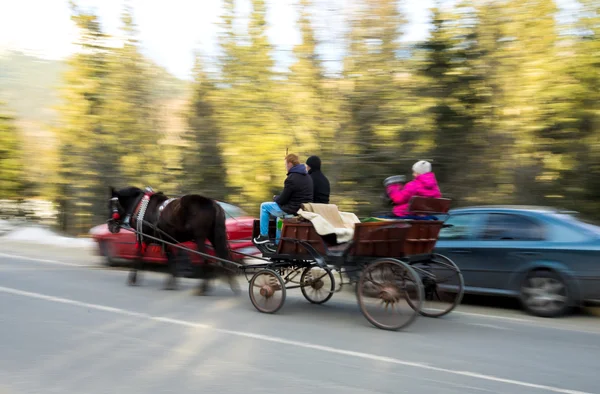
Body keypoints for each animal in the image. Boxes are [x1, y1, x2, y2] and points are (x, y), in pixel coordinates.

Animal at [106, 186, 240, 294]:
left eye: (111, 205)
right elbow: (171, 258)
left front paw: (132, 279)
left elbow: (138, 255)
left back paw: (203, 288)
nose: (110, 226)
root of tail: (214, 204)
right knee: (224, 257)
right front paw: (173, 281)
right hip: (213, 236)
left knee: (206, 258)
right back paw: (232, 284)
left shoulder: (144, 237)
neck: (142, 208)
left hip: (200, 238)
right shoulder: (164, 240)